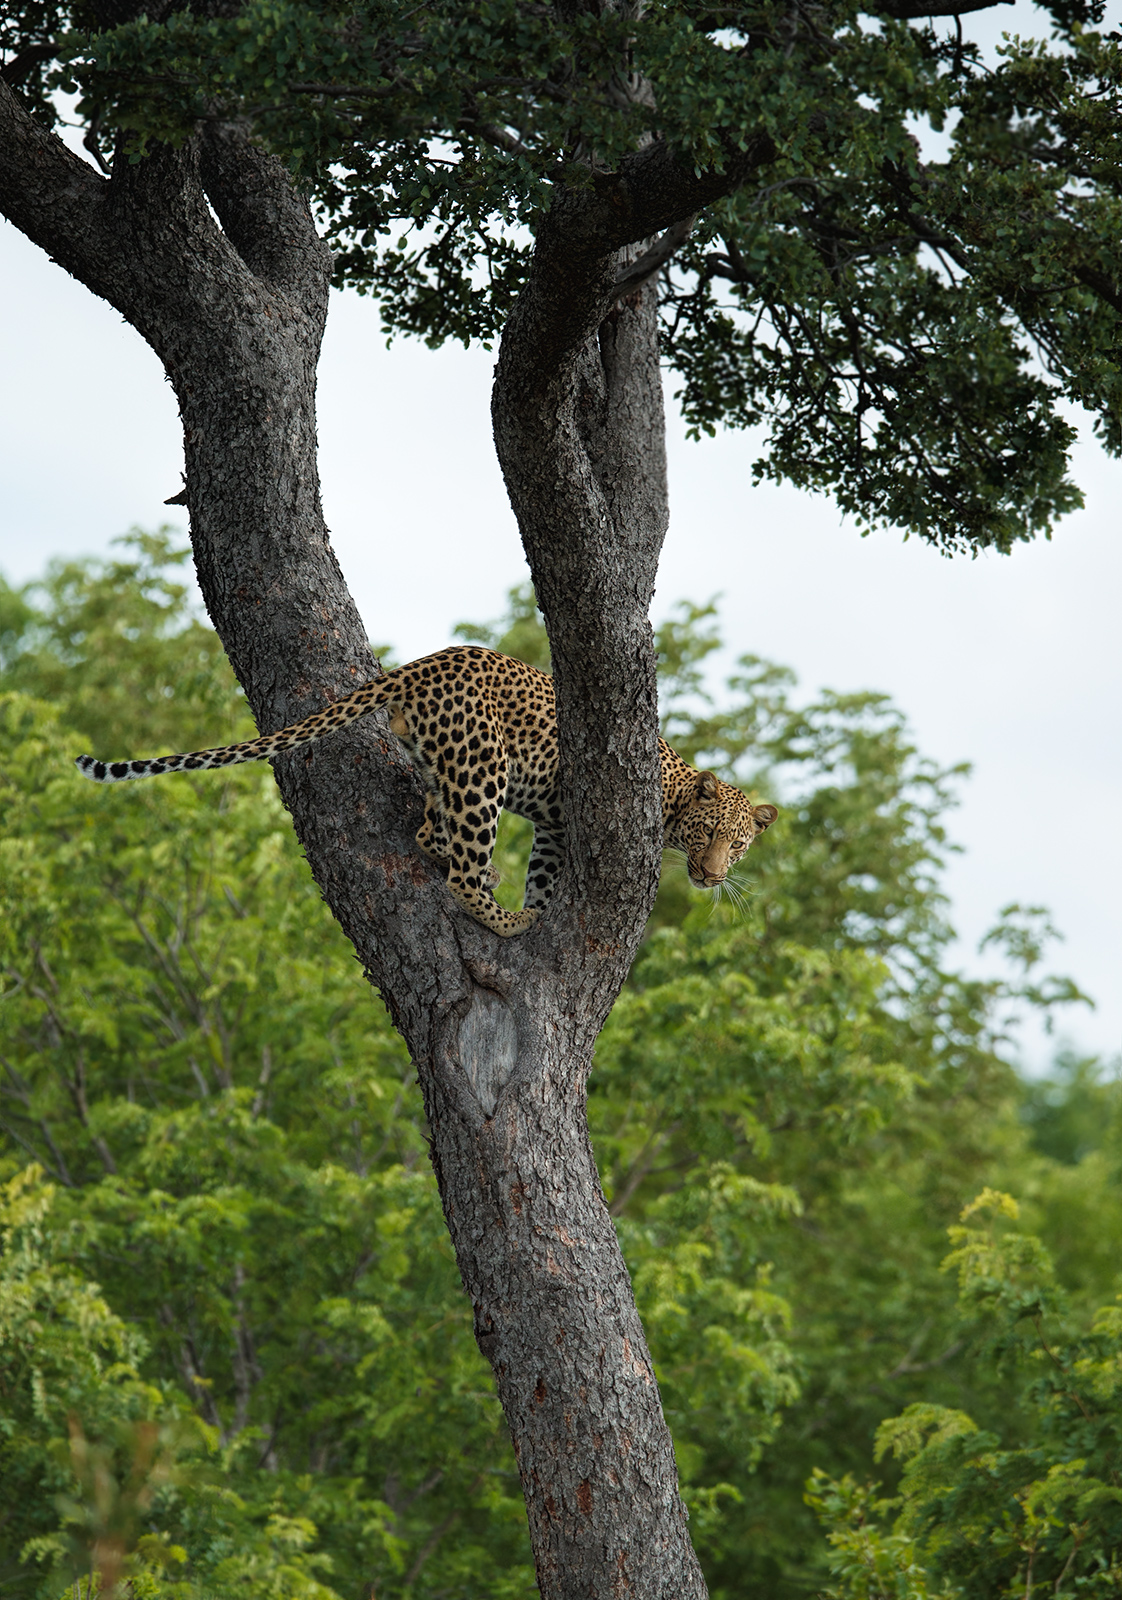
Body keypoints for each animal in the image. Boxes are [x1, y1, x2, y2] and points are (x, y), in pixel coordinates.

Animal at [75, 645, 778, 937]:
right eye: (708, 835)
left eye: (739, 845)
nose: (714, 875)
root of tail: (424, 664)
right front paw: (534, 916)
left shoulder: (555, 827)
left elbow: (544, 871)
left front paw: (541, 903)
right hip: (484, 766)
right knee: (458, 872)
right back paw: (505, 922)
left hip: (451, 769)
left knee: (428, 833)